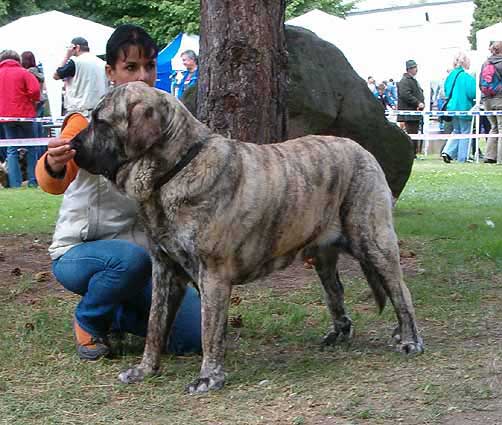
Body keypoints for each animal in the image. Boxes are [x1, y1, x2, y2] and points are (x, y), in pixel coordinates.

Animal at [70, 81, 424, 392]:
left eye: (100, 121)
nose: (73, 146)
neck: (175, 169)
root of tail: (363, 150)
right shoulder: (165, 270)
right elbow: (155, 325)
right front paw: (144, 370)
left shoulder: (213, 275)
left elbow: (210, 331)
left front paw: (208, 378)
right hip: (322, 256)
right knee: (336, 291)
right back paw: (341, 333)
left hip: (374, 241)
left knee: (401, 291)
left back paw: (409, 339)